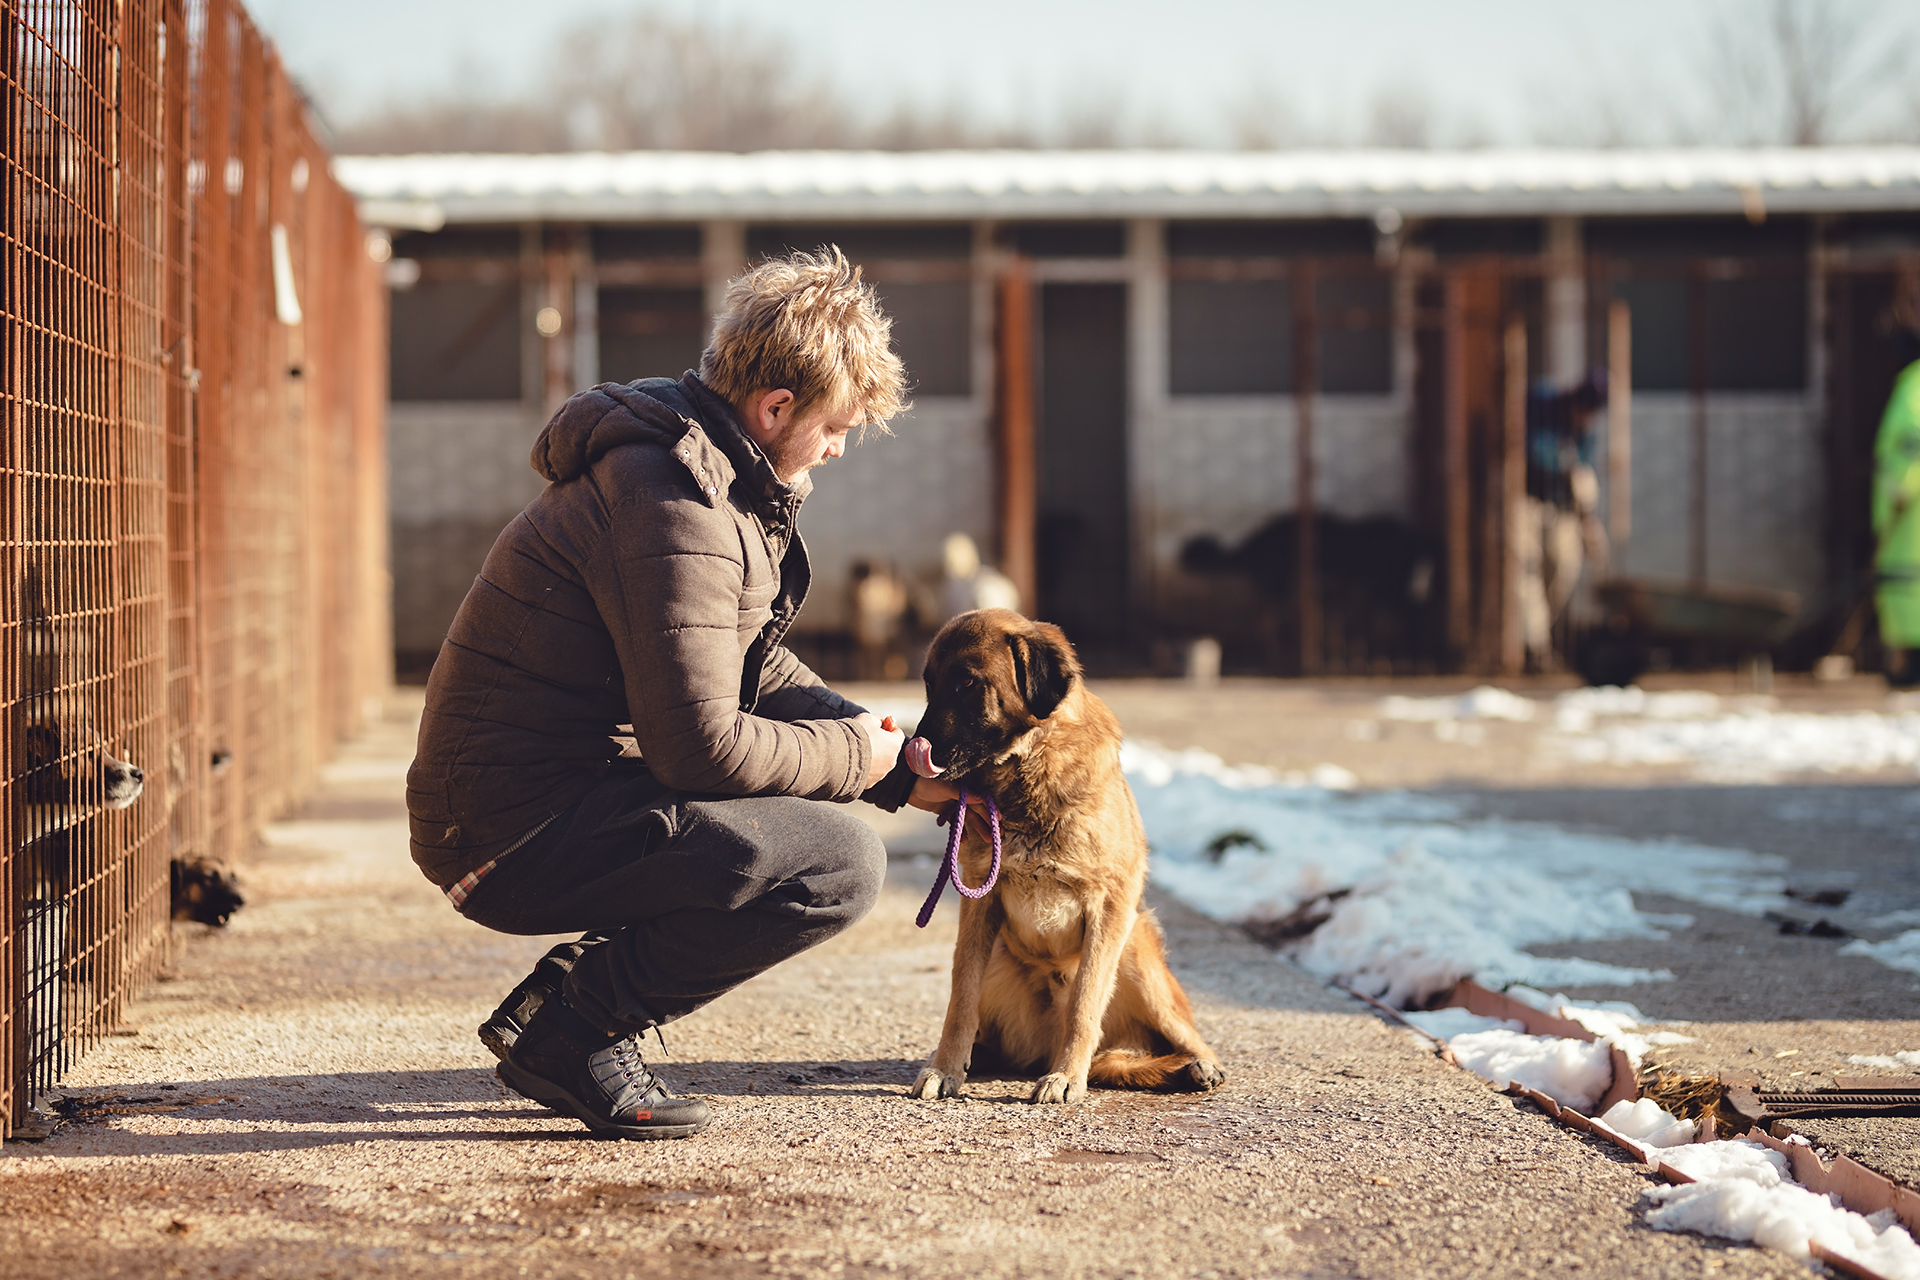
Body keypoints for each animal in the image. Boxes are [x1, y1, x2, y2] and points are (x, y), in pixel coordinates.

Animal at [906, 610, 1221, 1105]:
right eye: (930, 684)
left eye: (967, 683)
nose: (911, 751)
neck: (1031, 766)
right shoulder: (978, 907)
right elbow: (961, 998)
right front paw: (945, 1068)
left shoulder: (1110, 907)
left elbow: (1084, 1002)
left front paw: (1067, 1076)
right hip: (1000, 956)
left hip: (1136, 951)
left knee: (1187, 1040)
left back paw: (1195, 1067)